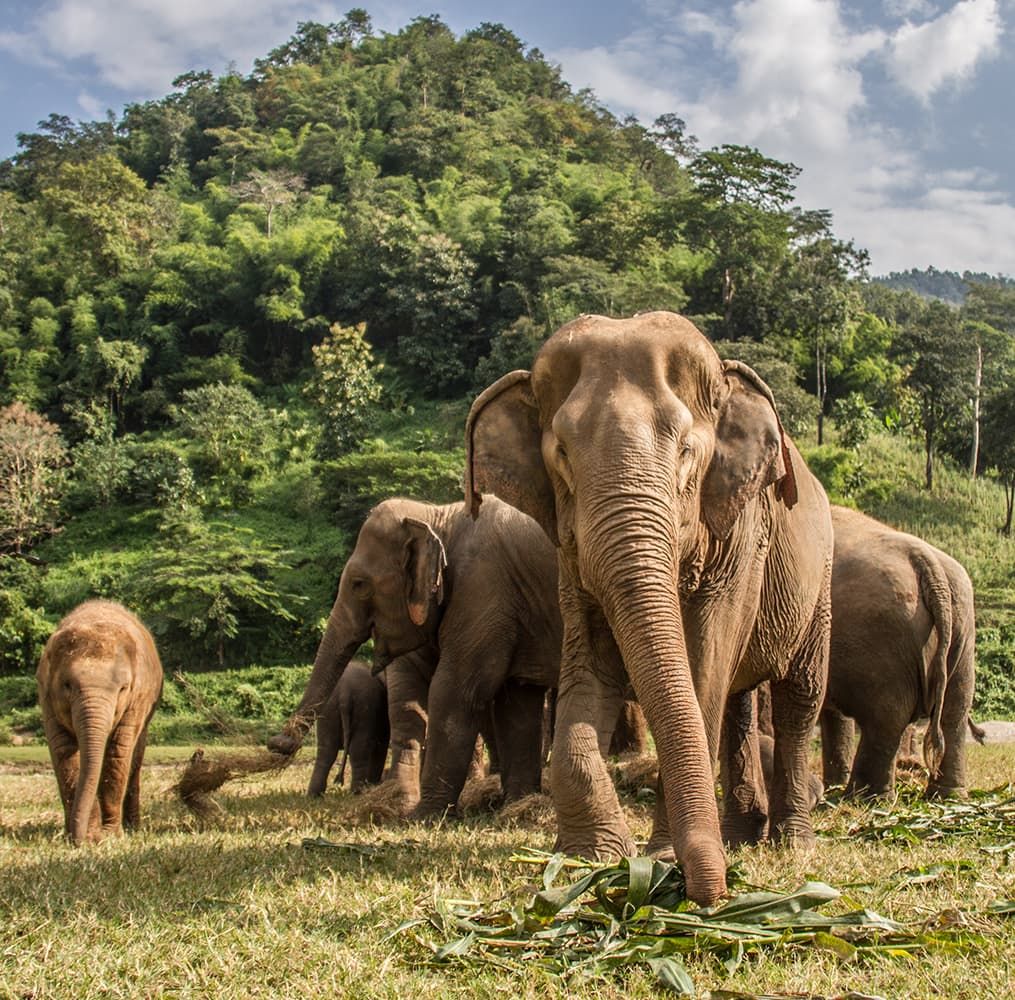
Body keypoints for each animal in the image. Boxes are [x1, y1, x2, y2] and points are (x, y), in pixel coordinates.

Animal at [36, 601, 162, 844]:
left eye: (123, 688)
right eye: (67, 685)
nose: (78, 839)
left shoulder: (137, 700)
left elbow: (118, 752)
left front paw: (110, 835)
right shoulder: (47, 699)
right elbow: (64, 752)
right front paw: (90, 837)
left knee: (134, 757)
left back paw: (133, 828)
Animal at [304, 657, 387, 791]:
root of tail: (345, 692)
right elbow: (381, 744)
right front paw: (373, 784)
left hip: (329, 708)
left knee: (326, 750)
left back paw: (314, 793)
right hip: (364, 707)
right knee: (358, 748)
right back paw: (358, 791)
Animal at [466, 312, 832, 905]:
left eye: (685, 450)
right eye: (562, 454)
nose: (711, 892)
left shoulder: (740, 535)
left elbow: (703, 667)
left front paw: (659, 858)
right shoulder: (571, 554)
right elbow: (590, 663)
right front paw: (590, 858)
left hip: (819, 581)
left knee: (799, 697)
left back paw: (791, 844)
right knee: (738, 702)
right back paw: (741, 836)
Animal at [816, 507, 974, 795]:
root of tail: (929, 566)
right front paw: (832, 785)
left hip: (879, 639)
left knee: (885, 718)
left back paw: (864, 796)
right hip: (963, 631)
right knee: (955, 712)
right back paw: (947, 795)